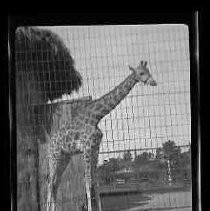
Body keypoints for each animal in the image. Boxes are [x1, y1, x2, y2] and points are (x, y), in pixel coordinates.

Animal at [45, 60, 156, 210]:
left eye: (148, 71)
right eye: (141, 73)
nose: (153, 82)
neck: (96, 117)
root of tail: (50, 143)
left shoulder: (95, 148)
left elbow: (95, 182)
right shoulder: (86, 147)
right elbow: (87, 180)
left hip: (65, 157)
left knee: (56, 183)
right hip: (54, 156)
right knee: (50, 183)